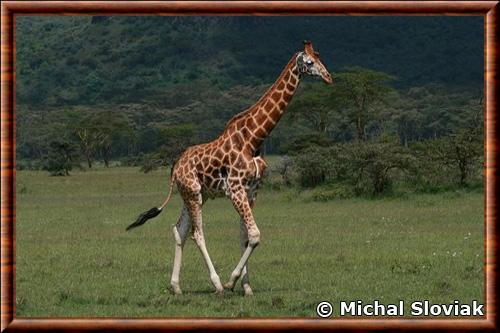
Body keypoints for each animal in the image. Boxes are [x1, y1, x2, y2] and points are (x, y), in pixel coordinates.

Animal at [127, 40, 332, 294]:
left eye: (321, 58)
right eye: (310, 62)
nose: (328, 77)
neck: (254, 139)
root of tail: (175, 168)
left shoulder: (251, 190)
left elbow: (245, 236)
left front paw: (247, 287)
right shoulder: (235, 189)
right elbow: (255, 234)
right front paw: (231, 281)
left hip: (195, 194)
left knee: (179, 230)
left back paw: (176, 286)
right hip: (193, 193)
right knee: (196, 233)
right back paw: (216, 283)